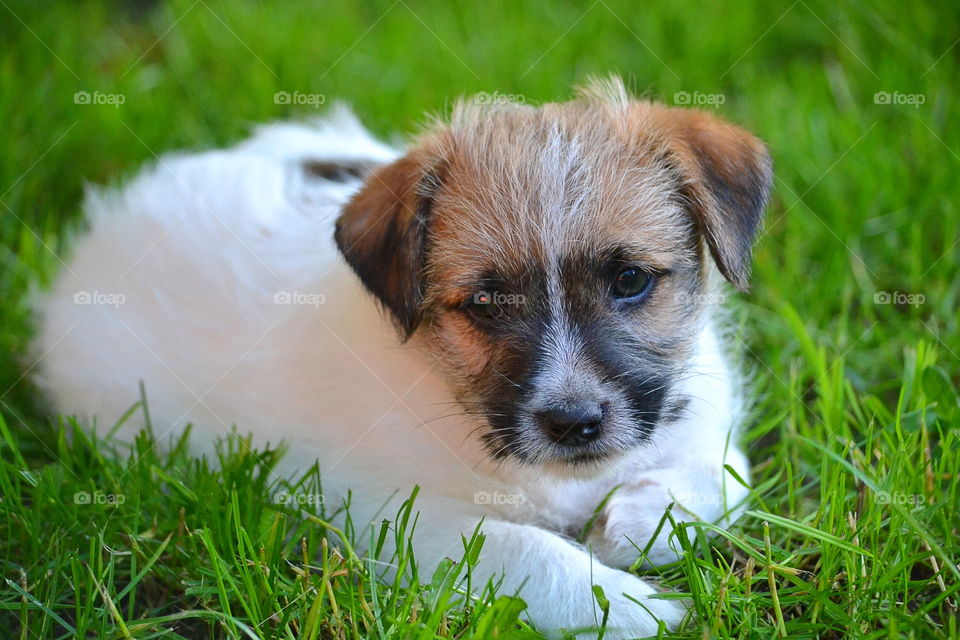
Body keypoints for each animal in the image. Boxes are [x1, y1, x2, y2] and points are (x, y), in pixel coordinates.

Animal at [33, 77, 776, 636]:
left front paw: (639, 522)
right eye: (485, 303)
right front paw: (626, 607)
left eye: (629, 281)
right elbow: (524, 549)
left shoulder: (706, 418)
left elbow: (730, 476)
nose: (573, 423)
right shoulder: (393, 520)